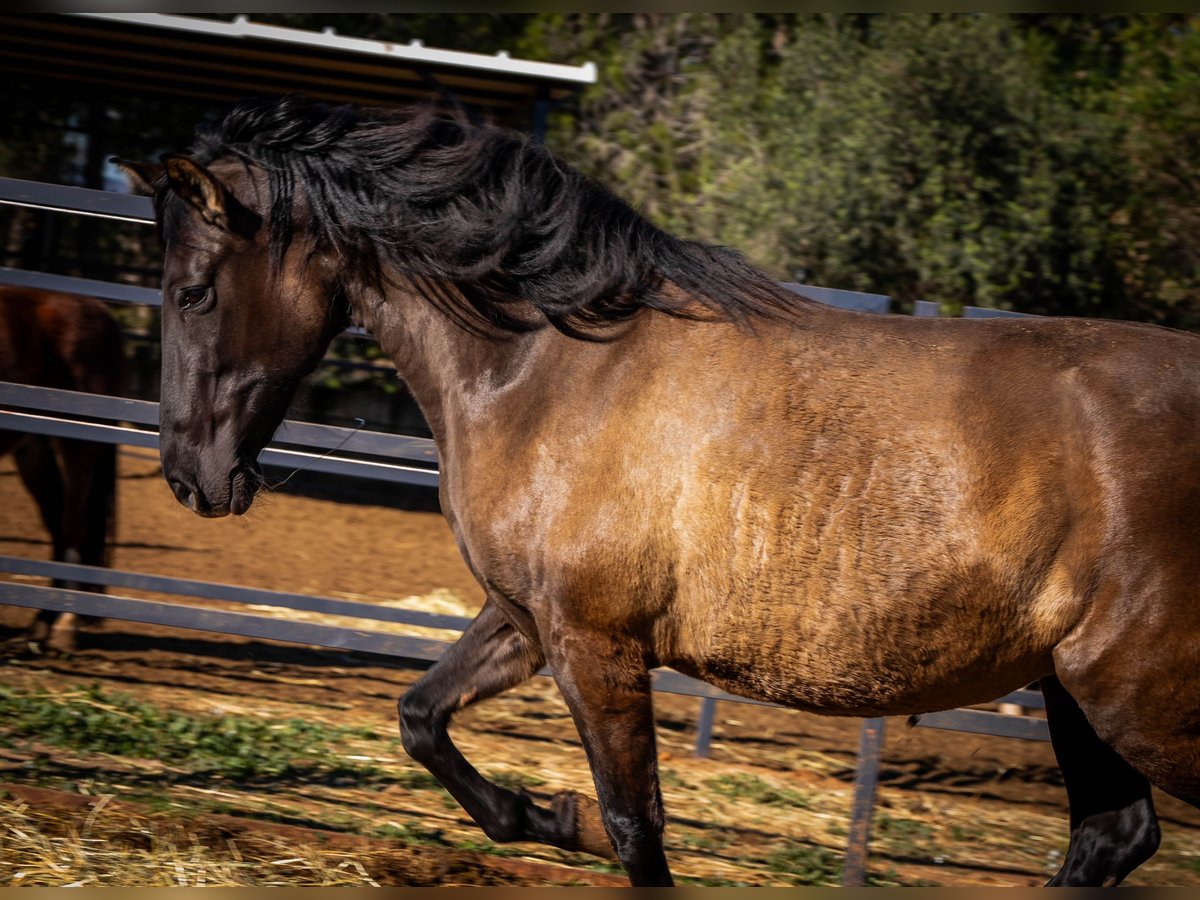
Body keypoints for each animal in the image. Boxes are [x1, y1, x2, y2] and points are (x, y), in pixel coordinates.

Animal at [0, 285, 121, 652]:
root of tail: (101, 311)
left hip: (78, 444)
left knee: (73, 526)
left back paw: (65, 625)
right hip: (32, 447)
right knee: (57, 521)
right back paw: (43, 621)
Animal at [119, 93, 1200, 888]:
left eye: (192, 293)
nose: (190, 478)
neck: (549, 370)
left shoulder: (597, 645)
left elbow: (638, 826)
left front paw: (572, 818)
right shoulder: (527, 620)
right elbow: (421, 716)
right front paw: (546, 815)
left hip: (1137, 699)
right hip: (1076, 693)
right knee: (1111, 838)